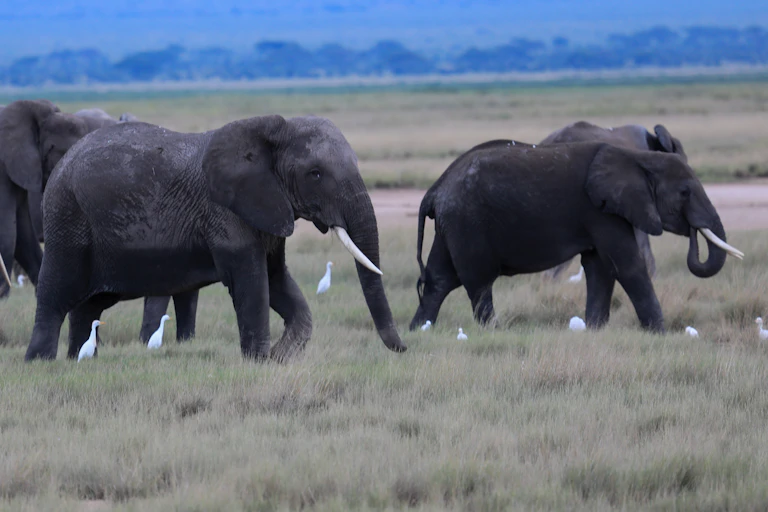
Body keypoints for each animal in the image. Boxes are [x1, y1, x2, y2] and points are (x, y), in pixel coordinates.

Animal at [25, 115, 407, 361]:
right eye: (314, 174)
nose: (403, 348)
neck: (271, 132)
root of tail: (62, 165)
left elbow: (277, 281)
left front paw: (281, 357)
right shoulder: (225, 212)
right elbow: (252, 283)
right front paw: (260, 361)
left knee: (89, 306)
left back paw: (81, 360)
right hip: (67, 218)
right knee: (55, 295)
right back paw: (40, 362)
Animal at [408, 139, 743, 332]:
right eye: (685, 192)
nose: (693, 231)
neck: (640, 158)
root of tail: (434, 189)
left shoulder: (602, 212)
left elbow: (600, 268)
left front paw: (594, 329)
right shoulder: (600, 210)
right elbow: (627, 265)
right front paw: (660, 332)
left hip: (452, 223)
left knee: (440, 279)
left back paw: (418, 330)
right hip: (468, 222)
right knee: (478, 283)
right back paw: (493, 331)